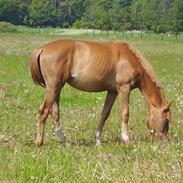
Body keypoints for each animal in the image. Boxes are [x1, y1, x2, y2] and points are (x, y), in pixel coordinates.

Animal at [29, 39, 172, 146]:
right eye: (166, 121)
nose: (165, 143)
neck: (129, 59)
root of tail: (42, 49)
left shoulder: (112, 91)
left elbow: (105, 114)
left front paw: (97, 140)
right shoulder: (124, 88)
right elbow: (125, 113)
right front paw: (126, 139)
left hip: (57, 89)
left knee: (54, 112)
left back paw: (64, 141)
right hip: (53, 87)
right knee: (44, 111)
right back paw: (39, 142)